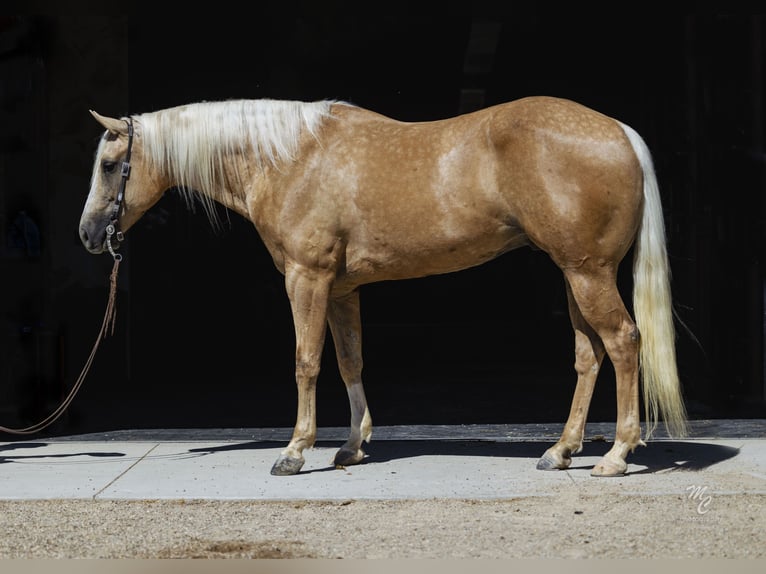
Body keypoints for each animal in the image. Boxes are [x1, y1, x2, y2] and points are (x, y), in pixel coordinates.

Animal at [79, 96, 687, 477]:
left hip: (588, 273)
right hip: (575, 273)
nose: (88, 234)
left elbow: (306, 361)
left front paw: (295, 452)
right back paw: (560, 451)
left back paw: (616, 456)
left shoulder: (307, 279)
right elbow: (350, 361)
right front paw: (351, 447)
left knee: (624, 343)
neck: (290, 158)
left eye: (110, 164)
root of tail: (620, 133)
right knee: (589, 355)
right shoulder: (342, 289)